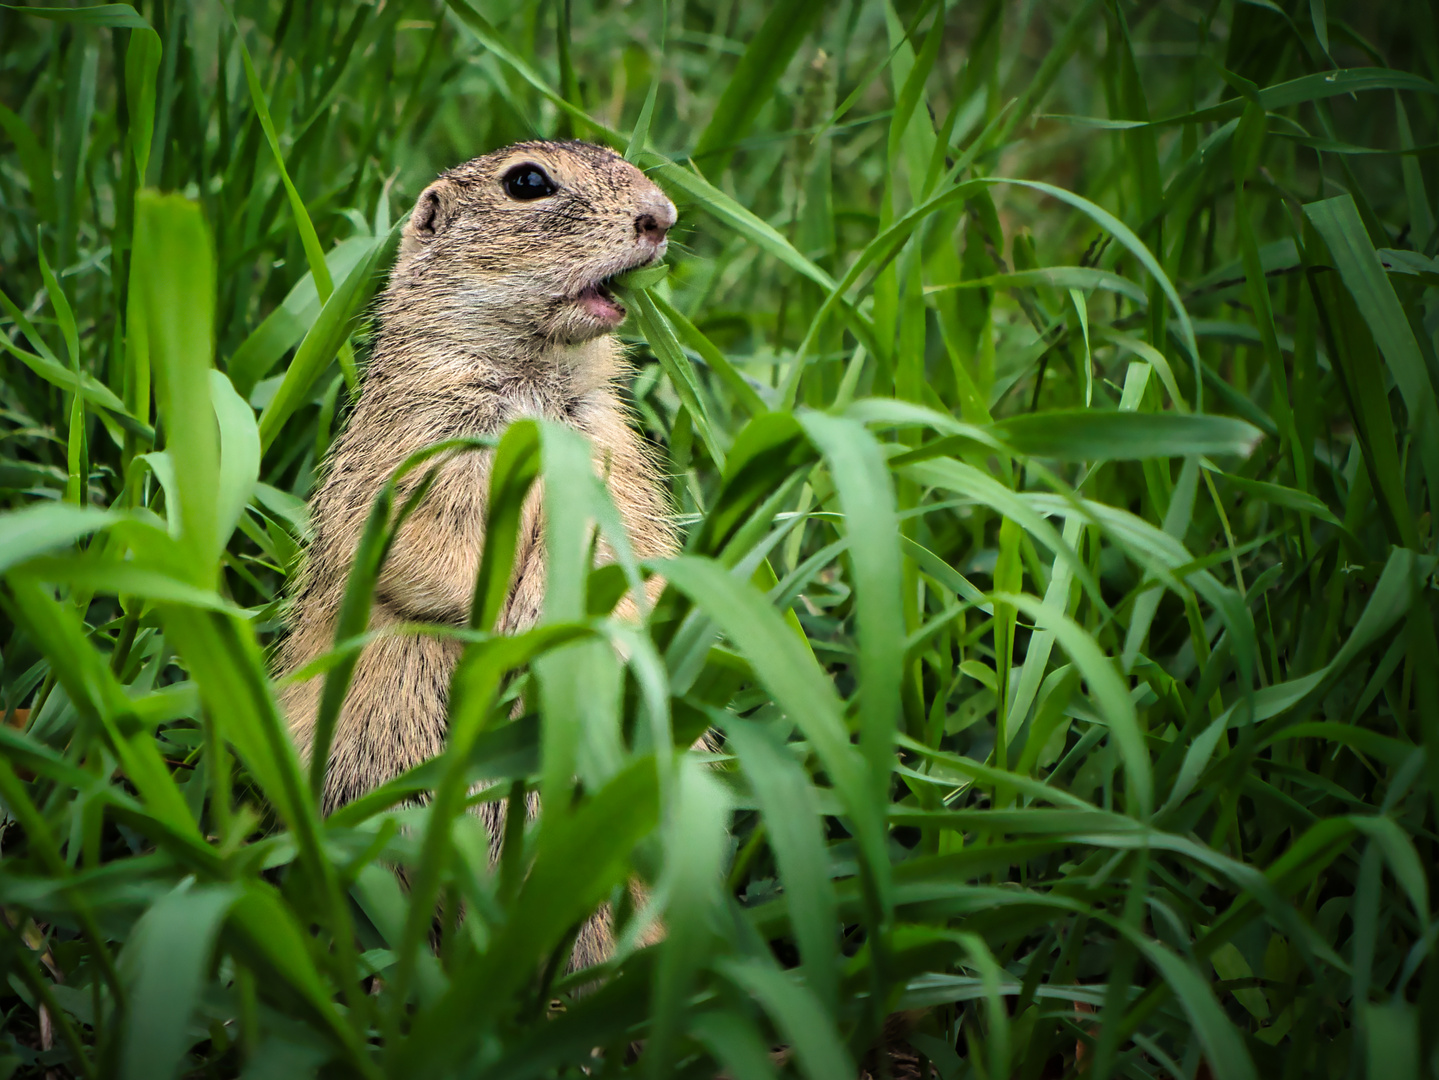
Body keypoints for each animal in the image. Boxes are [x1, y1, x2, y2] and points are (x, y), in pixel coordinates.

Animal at [283, 143, 682, 816]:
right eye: (527, 181)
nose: (662, 216)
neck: (534, 378)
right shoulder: (427, 438)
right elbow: (429, 554)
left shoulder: (608, 449)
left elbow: (623, 542)